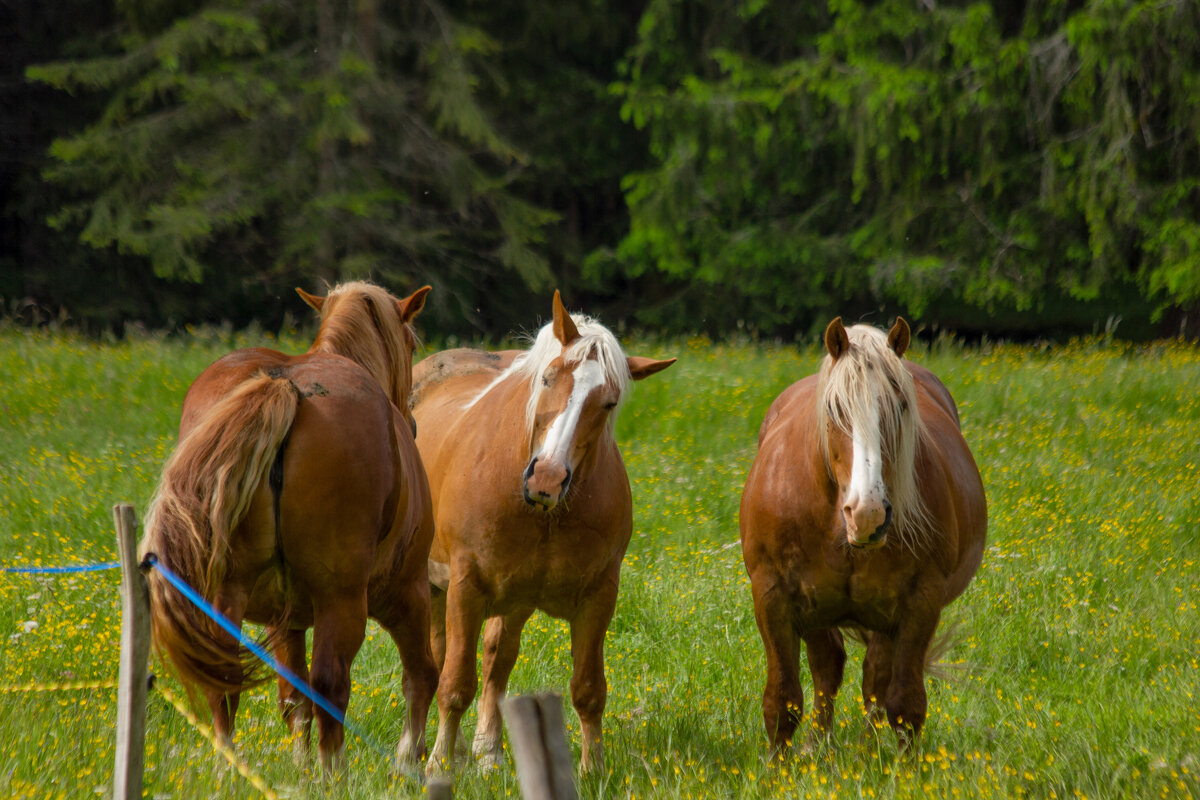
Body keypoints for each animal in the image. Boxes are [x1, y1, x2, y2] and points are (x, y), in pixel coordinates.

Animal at [139, 280, 441, 767]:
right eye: (412, 344)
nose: (411, 422)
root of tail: (285, 385)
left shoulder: (287, 618)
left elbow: (291, 696)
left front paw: (298, 763)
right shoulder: (408, 592)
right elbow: (420, 677)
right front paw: (409, 759)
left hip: (229, 593)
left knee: (225, 680)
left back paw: (230, 765)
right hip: (343, 598)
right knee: (331, 684)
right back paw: (333, 771)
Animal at [410, 291, 676, 772]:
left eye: (608, 402)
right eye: (549, 379)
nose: (547, 479)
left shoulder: (598, 596)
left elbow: (588, 689)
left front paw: (594, 770)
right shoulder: (464, 588)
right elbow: (454, 684)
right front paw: (438, 763)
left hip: (513, 600)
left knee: (497, 659)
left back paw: (488, 751)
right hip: (431, 584)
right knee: (435, 662)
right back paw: (427, 748)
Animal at [739, 316, 984, 758]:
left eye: (900, 406)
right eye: (835, 409)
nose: (868, 514)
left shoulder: (919, 604)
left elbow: (905, 705)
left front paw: (903, 770)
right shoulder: (773, 597)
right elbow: (782, 702)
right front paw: (778, 768)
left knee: (874, 679)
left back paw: (865, 752)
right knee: (829, 667)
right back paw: (819, 748)